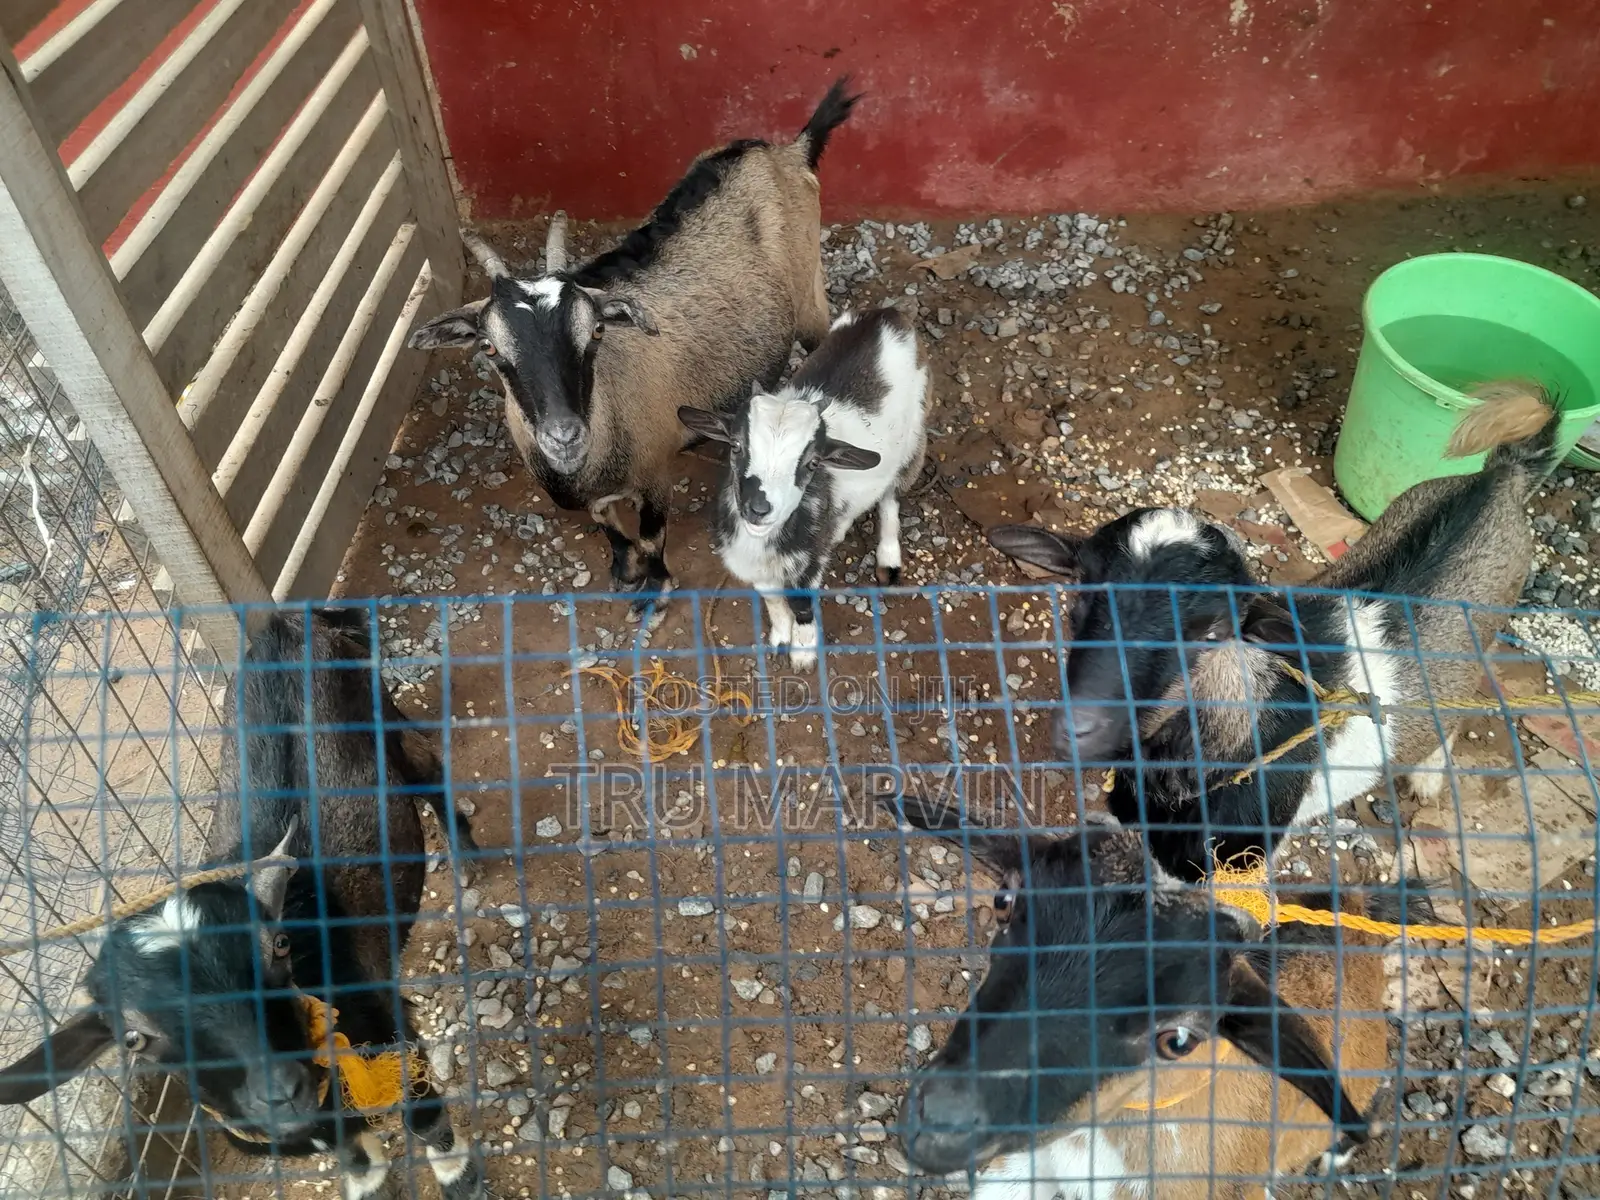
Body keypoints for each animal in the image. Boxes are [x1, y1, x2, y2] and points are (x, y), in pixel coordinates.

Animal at [0, 611, 487, 1200]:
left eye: (277, 947)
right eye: (134, 1038)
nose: (280, 1090)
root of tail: (282, 624)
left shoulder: (385, 1026)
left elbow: (423, 1113)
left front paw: (459, 1175)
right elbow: (352, 1152)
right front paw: (367, 1183)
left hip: (381, 713)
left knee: (427, 766)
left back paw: (466, 856)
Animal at [406, 80, 861, 615]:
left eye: (597, 332)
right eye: (489, 347)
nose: (564, 436)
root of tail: (789, 150)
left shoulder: (653, 474)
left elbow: (652, 536)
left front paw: (654, 591)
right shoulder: (596, 496)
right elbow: (607, 526)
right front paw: (623, 569)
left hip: (810, 291)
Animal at [678, 306, 930, 667]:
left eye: (813, 462)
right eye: (736, 445)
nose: (759, 508)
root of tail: (888, 314)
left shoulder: (807, 563)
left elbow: (801, 602)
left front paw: (803, 652)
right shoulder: (756, 566)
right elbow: (772, 599)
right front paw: (782, 637)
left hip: (915, 434)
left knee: (891, 496)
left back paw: (888, 559)